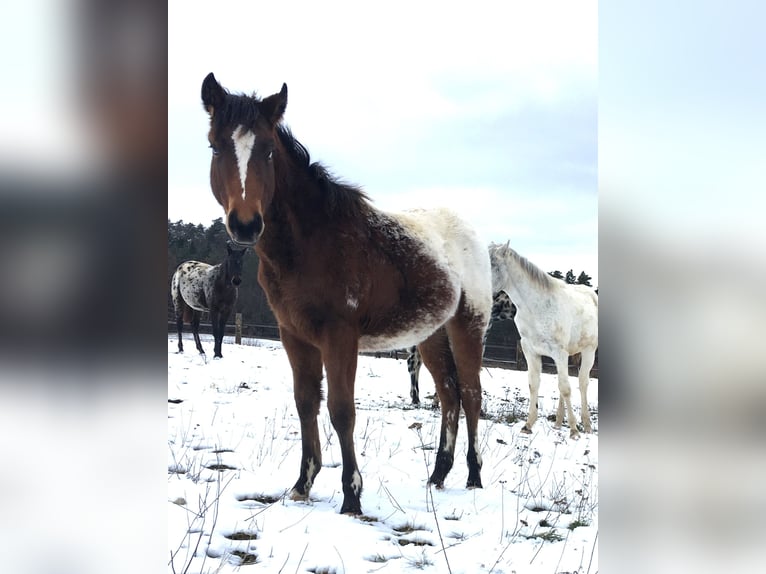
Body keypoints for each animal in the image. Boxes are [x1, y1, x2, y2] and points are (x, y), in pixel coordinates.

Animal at [201, 73, 496, 516]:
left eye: (268, 150)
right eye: (215, 146)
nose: (246, 224)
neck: (313, 241)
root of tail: (471, 234)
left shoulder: (340, 337)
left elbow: (342, 410)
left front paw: (351, 496)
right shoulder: (294, 336)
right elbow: (306, 402)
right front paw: (302, 485)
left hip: (467, 327)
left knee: (472, 395)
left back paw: (475, 477)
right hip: (431, 335)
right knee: (449, 396)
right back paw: (438, 476)